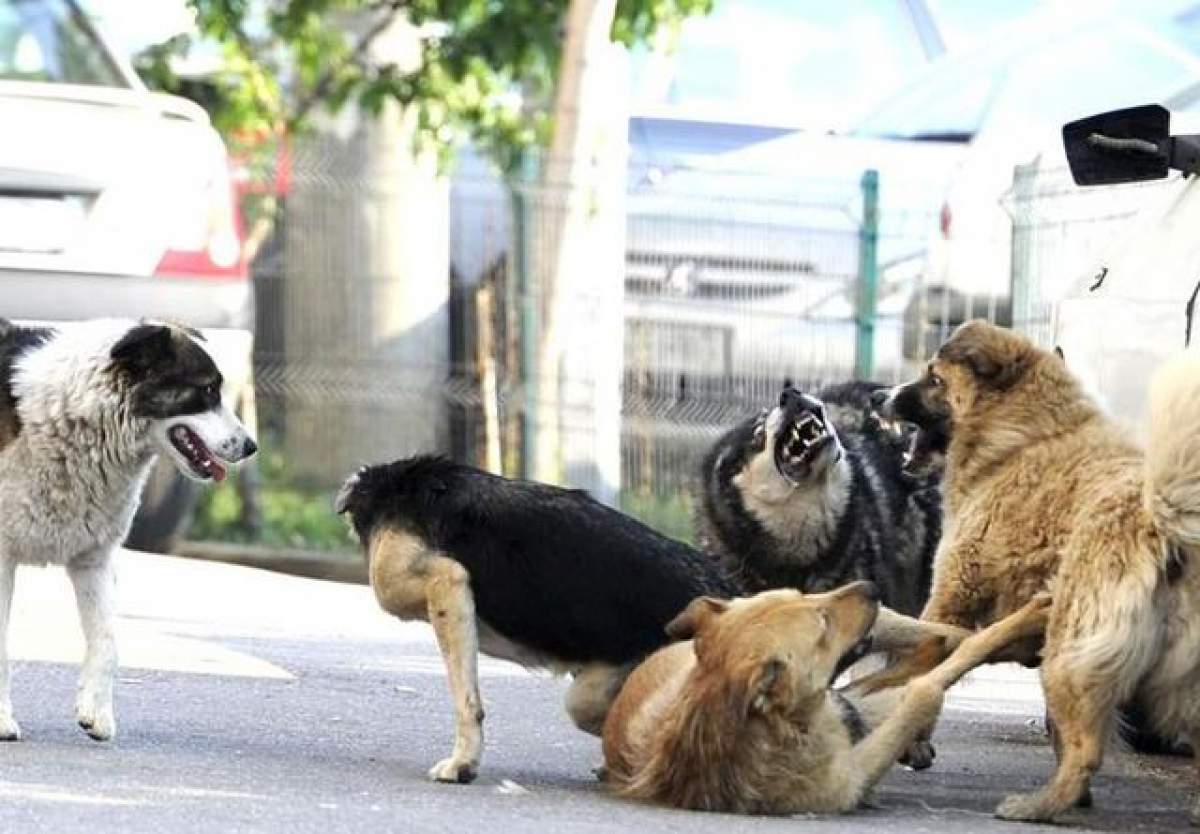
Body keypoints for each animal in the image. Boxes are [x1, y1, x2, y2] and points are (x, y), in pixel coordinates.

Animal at [0, 319, 255, 744]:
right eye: (206, 391)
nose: (251, 447)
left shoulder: (94, 560)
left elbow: (108, 641)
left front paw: (96, 713)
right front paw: (3, 720)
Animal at [604, 580, 1046, 816]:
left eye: (802, 595)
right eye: (822, 623)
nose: (871, 586)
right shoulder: (854, 775)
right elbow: (927, 690)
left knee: (937, 637)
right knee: (938, 653)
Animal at [864, 319, 1200, 820]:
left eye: (934, 378)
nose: (877, 397)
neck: (1025, 437)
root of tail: (1162, 519)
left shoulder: (950, 599)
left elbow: (917, 663)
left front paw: (910, 740)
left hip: (1068, 653)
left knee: (1086, 749)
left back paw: (1035, 806)